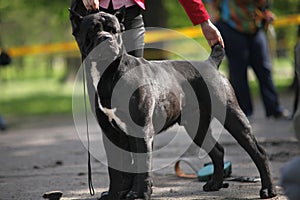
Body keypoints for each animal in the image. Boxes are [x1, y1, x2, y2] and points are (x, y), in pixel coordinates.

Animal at [68, 4, 276, 200]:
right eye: (92, 30)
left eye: (114, 30)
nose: (106, 38)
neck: (109, 73)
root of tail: (210, 63)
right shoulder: (111, 133)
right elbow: (117, 170)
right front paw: (113, 195)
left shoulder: (141, 130)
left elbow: (142, 166)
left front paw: (140, 194)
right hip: (196, 126)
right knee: (217, 151)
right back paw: (214, 184)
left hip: (233, 117)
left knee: (258, 152)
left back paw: (268, 190)